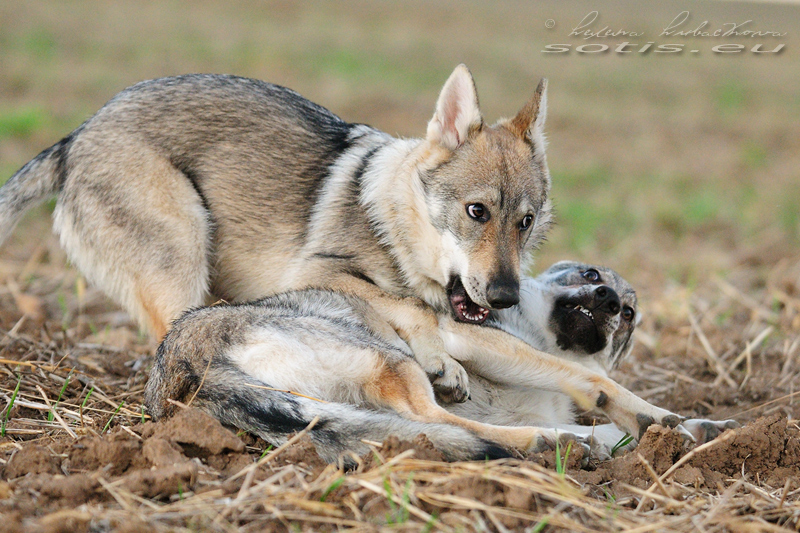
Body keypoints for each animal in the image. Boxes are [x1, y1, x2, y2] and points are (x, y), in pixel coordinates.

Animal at [145, 262, 736, 462]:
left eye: (629, 314)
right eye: (591, 275)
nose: (611, 302)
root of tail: (180, 370)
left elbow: (617, 426)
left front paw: (697, 430)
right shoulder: (474, 343)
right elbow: (596, 383)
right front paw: (661, 420)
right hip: (393, 360)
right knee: (432, 424)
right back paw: (549, 446)